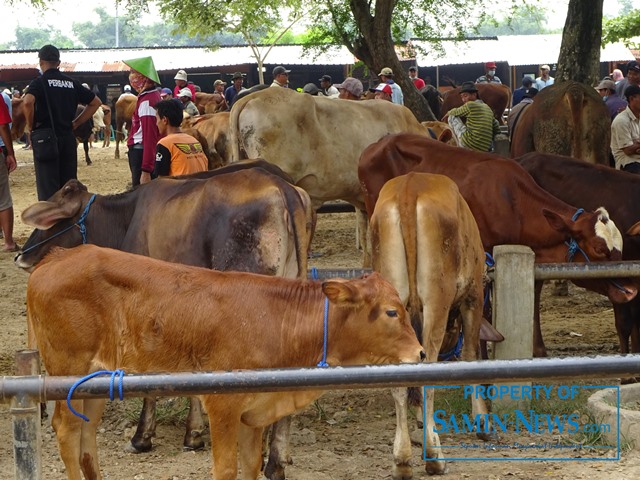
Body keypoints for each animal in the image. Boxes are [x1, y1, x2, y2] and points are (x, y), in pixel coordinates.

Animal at [27, 244, 424, 480]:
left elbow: (250, 467)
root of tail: (56, 257)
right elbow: (227, 470)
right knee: (66, 430)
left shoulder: (254, 414)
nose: (421, 353)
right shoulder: (222, 406)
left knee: (86, 432)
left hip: (96, 381)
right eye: (391, 312)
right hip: (67, 372)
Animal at [358, 131, 636, 356]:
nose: (631, 290)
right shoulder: (487, 259)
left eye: (620, 248)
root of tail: (377, 144)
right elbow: (487, 312)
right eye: (599, 249)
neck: (512, 201)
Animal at [370, 172, 484, 476]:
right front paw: (482, 421)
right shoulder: (474, 296)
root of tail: (409, 187)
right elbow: (471, 355)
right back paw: (434, 456)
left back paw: (401, 460)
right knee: (430, 364)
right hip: (437, 300)